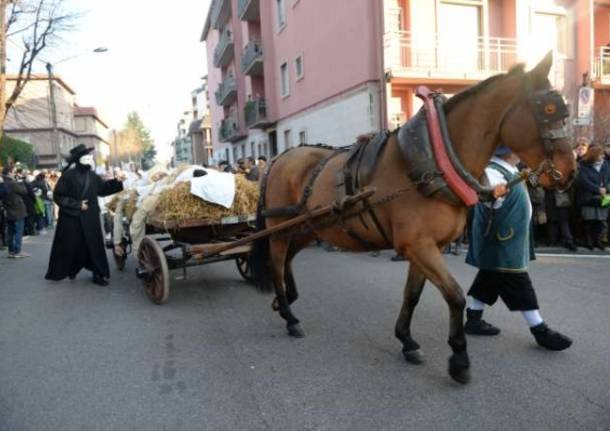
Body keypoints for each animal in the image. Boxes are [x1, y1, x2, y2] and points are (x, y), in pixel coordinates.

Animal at [251, 54, 576, 384]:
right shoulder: (418, 246)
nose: (569, 171)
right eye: (549, 110)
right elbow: (455, 296)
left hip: (308, 228)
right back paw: (290, 317)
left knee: (287, 260)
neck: (434, 162)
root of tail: (278, 158)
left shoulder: (426, 247)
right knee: (276, 264)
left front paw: (407, 341)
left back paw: (284, 301)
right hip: (279, 229)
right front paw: (459, 358)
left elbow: (412, 295)